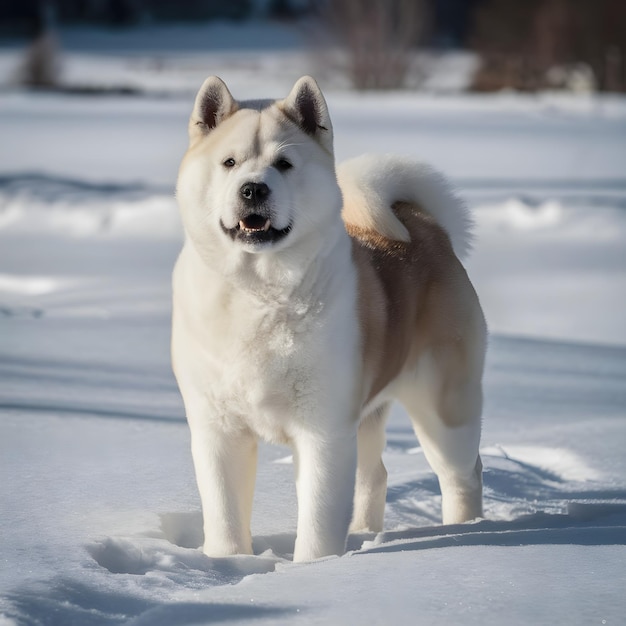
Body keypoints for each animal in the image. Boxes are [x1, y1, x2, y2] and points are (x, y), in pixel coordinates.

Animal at [172, 74, 488, 560]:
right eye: (229, 162)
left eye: (284, 164)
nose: (253, 189)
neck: (258, 290)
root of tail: (429, 229)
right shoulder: (218, 429)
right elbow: (224, 513)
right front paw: (227, 564)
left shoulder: (322, 429)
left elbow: (318, 518)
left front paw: (313, 568)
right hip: (369, 416)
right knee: (375, 475)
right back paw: (362, 536)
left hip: (443, 409)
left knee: (462, 474)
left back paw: (466, 532)